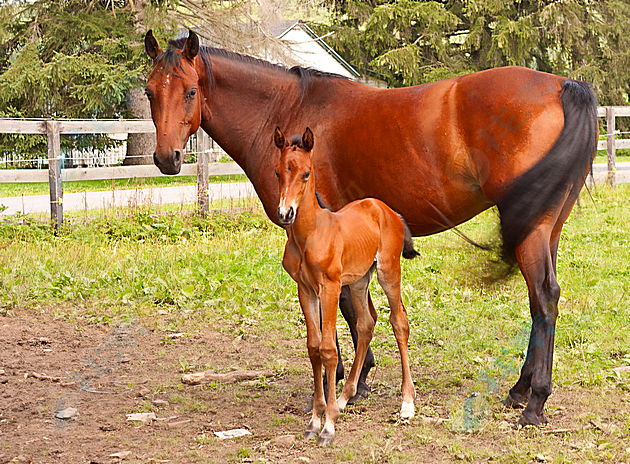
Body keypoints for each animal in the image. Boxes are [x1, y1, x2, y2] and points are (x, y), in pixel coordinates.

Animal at [276, 128, 420, 446]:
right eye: (278, 172)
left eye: (306, 174)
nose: (285, 213)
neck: (310, 233)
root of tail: (386, 210)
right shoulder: (305, 290)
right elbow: (313, 347)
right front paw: (315, 420)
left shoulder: (329, 287)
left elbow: (329, 349)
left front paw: (328, 426)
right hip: (358, 280)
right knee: (367, 323)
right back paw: (344, 397)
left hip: (388, 272)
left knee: (399, 322)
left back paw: (407, 403)